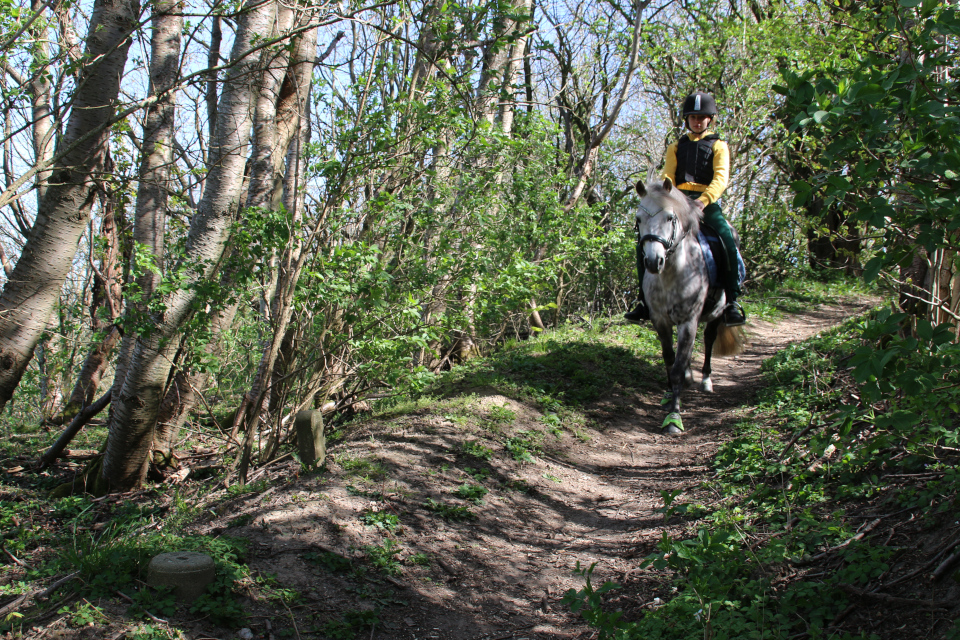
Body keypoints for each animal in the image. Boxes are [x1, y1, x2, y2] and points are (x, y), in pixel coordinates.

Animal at [636, 178, 744, 432]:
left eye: (669, 217)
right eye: (639, 219)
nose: (653, 262)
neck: (672, 275)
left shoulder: (689, 321)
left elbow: (677, 367)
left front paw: (674, 418)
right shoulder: (660, 320)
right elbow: (669, 359)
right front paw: (669, 394)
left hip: (716, 315)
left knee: (709, 339)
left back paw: (705, 379)